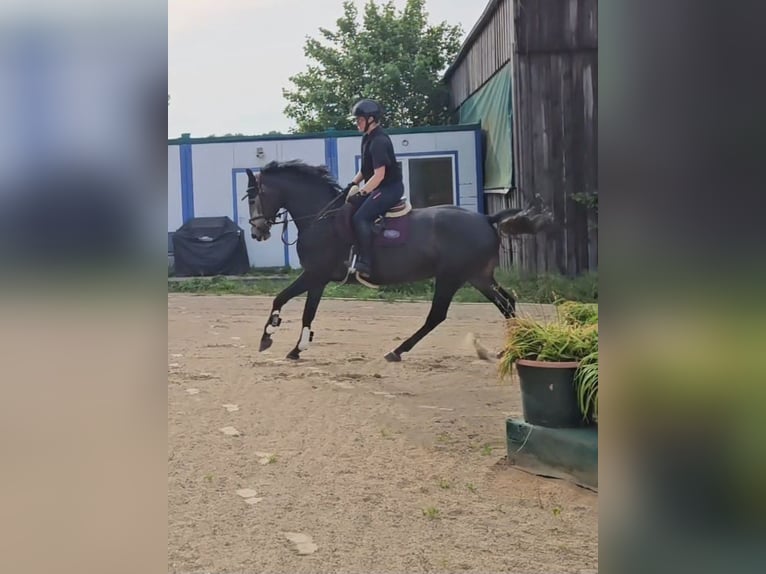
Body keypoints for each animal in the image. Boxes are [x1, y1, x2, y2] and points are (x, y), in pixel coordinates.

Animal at [243, 160, 548, 362]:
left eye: (256, 196)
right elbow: (303, 309)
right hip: (478, 276)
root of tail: (486, 218)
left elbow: (283, 299)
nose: (257, 232)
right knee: (507, 303)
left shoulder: (315, 274)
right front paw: (294, 347)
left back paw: (397, 351)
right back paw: (510, 349)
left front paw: (269, 336)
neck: (321, 217)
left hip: (451, 277)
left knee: (437, 316)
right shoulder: (318, 278)